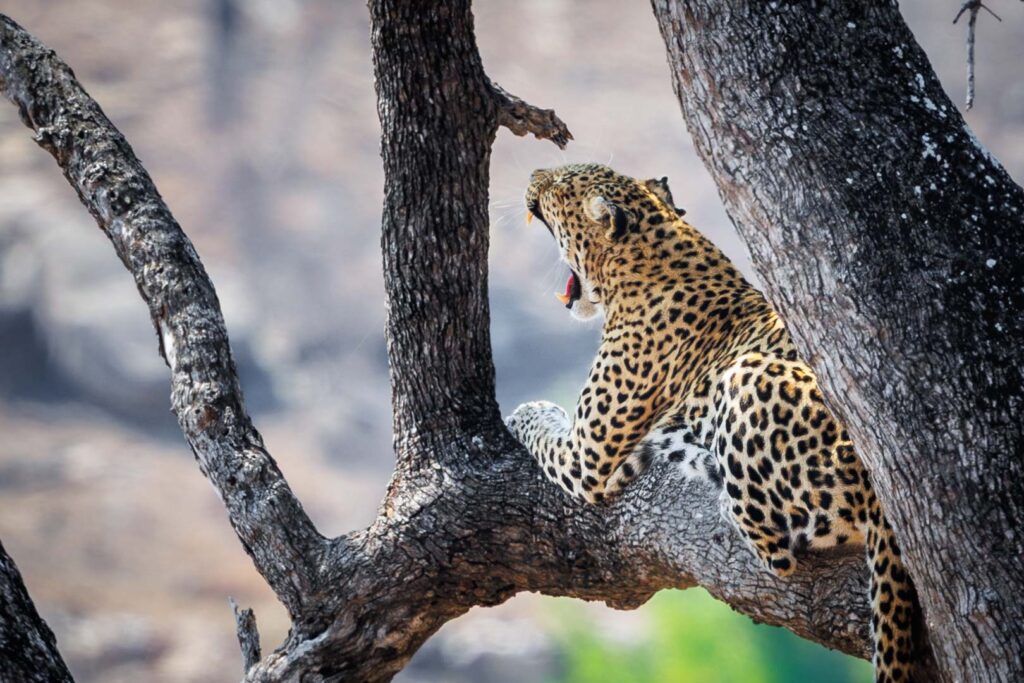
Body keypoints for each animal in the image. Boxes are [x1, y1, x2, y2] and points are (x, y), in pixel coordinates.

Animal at [505, 163, 915, 683]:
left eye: (561, 185)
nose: (535, 174)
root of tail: (884, 496)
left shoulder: (588, 456)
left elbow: (541, 426)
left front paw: (521, 411)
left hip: (746, 377)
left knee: (779, 551)